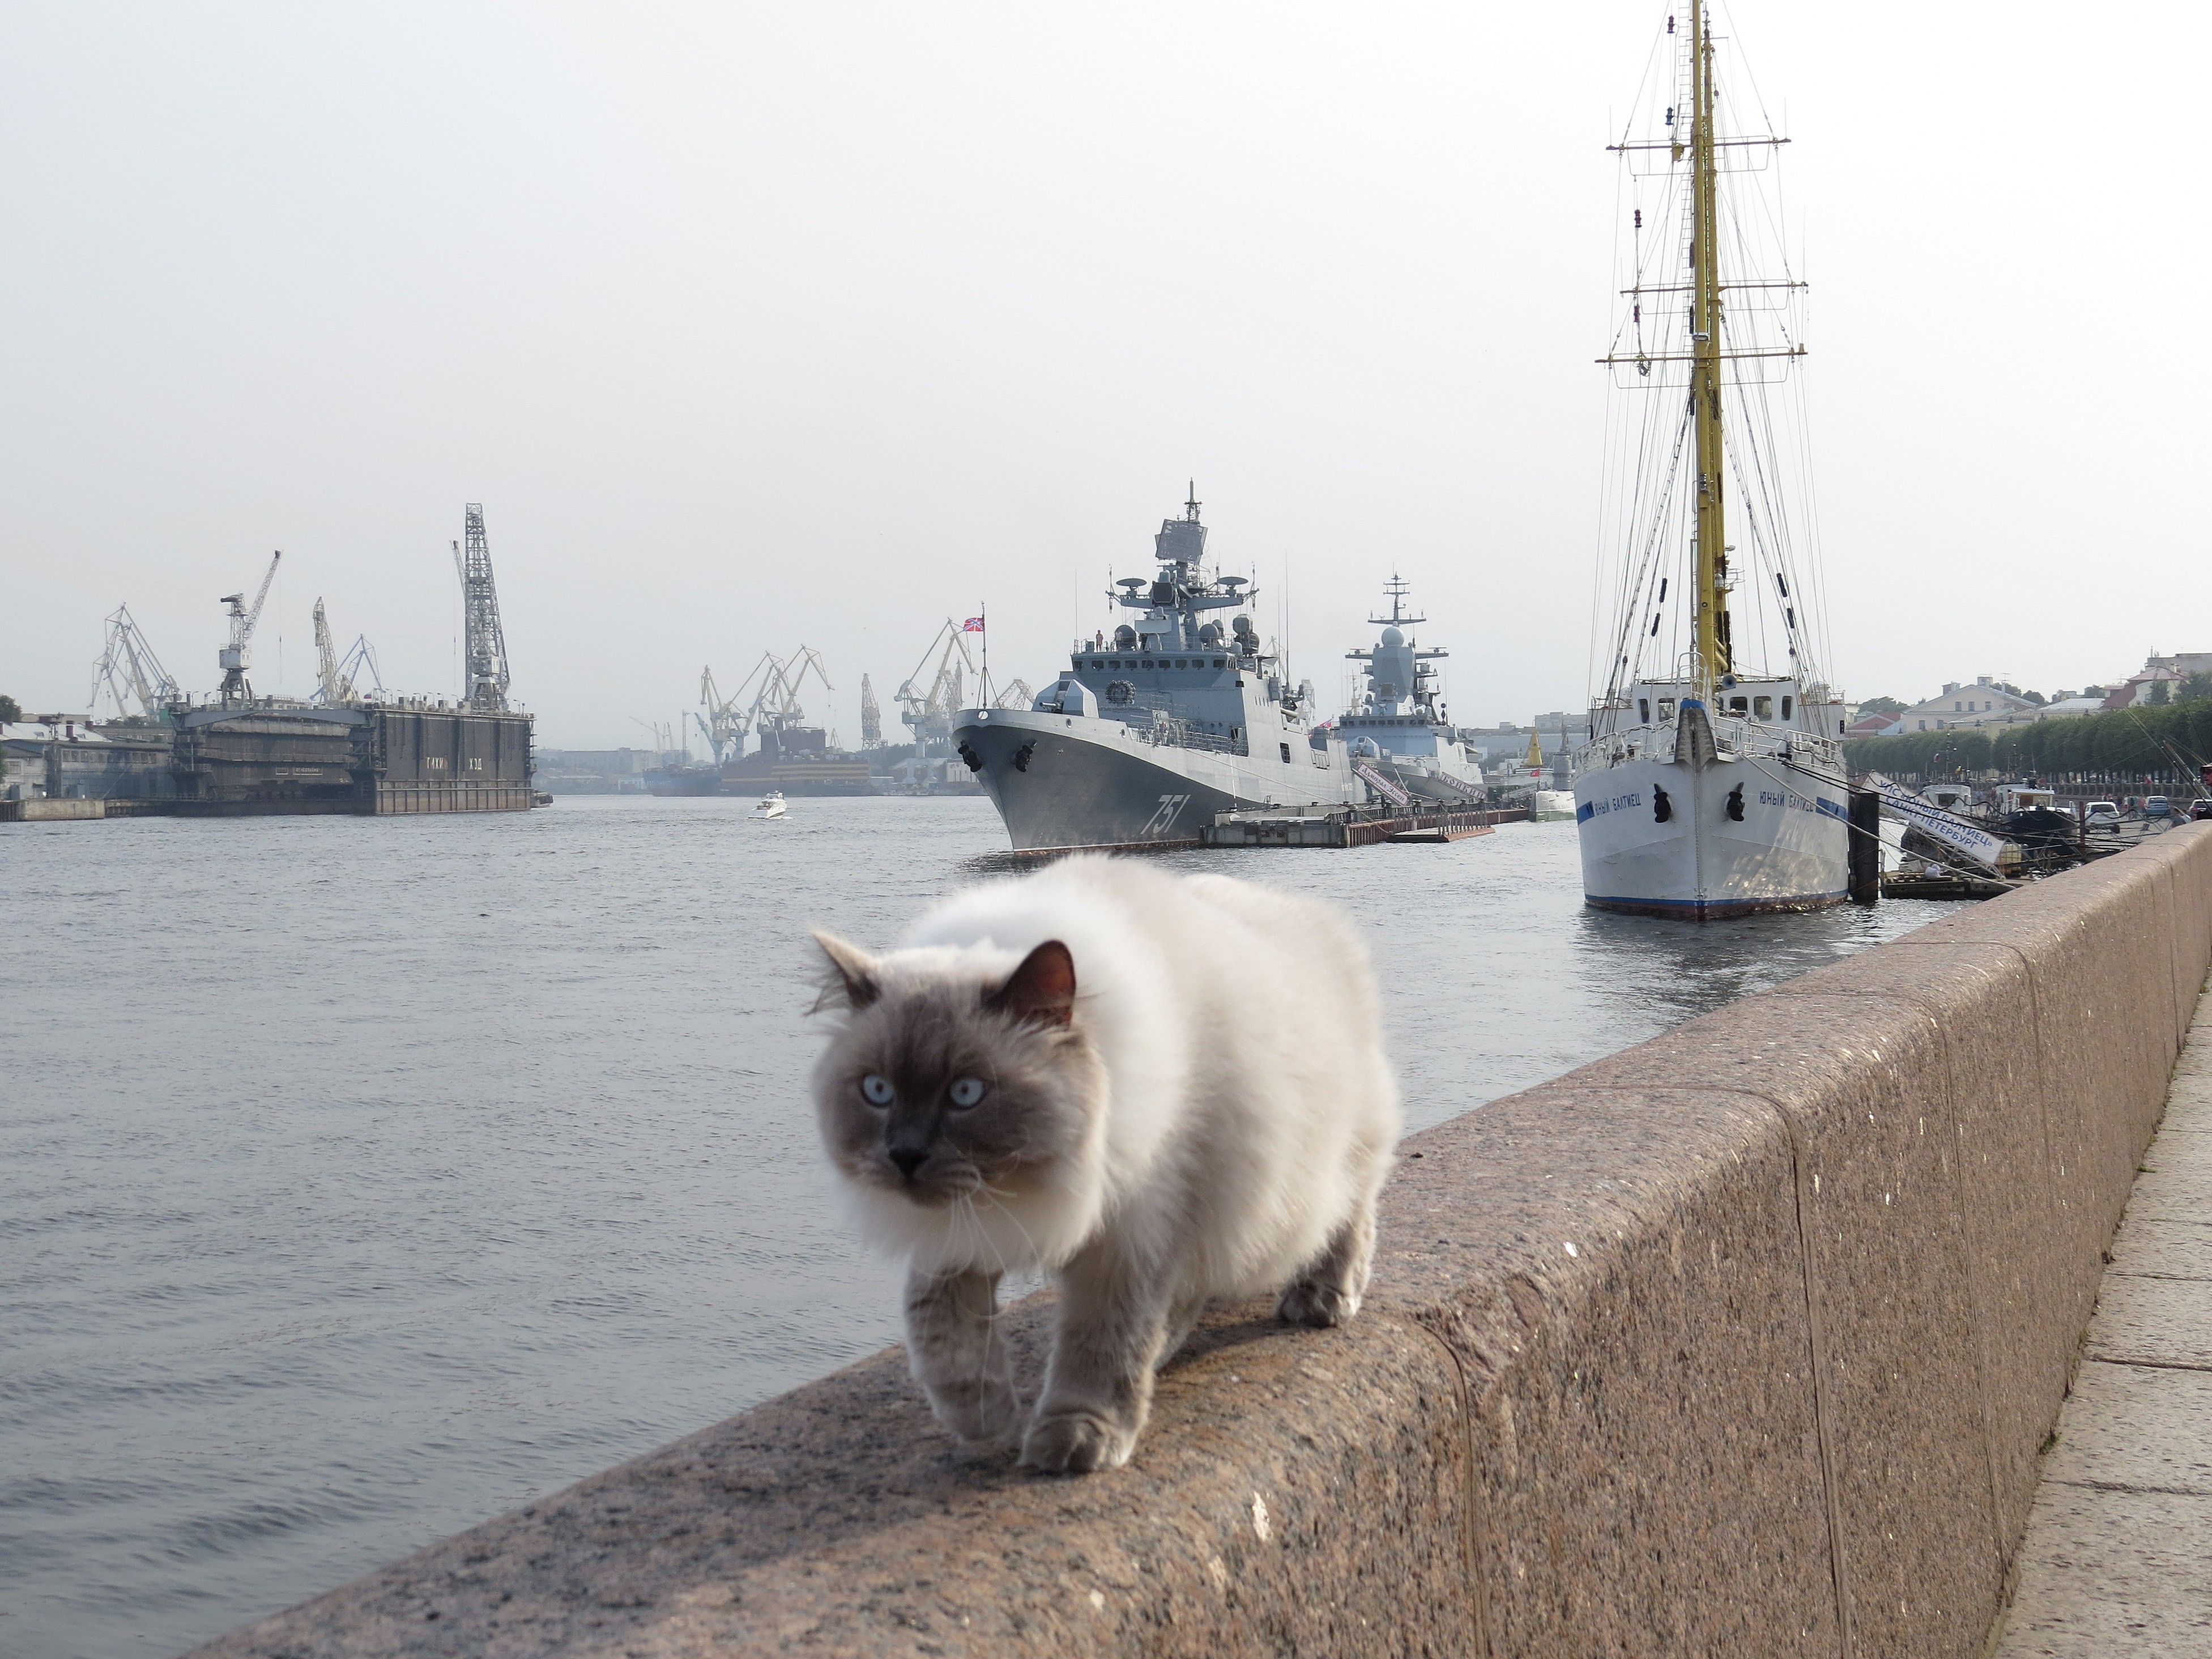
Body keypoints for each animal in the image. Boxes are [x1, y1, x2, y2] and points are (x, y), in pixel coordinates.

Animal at [814, 858, 1397, 1477]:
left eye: (965, 1093)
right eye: (877, 1090)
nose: (904, 1156)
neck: (1025, 1190)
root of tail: (1315, 916)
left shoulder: (1130, 1236)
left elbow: (1099, 1346)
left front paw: (1071, 1442)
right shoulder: (963, 1230)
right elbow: (940, 1336)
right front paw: (987, 1419)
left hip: (1324, 1165)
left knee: (1349, 1216)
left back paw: (1320, 1299)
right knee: (1188, 1295)